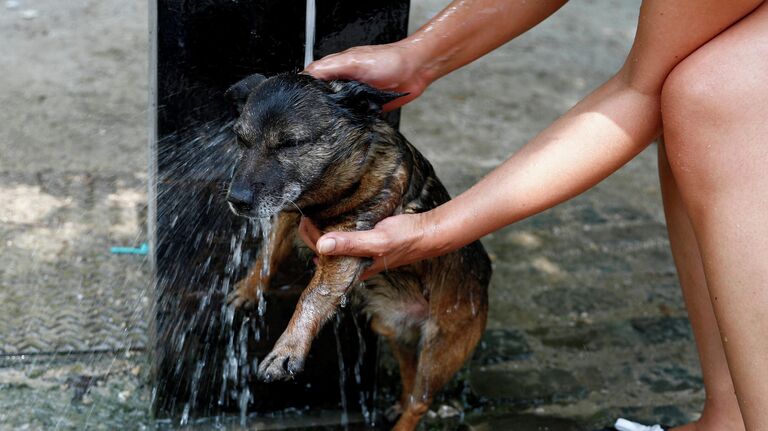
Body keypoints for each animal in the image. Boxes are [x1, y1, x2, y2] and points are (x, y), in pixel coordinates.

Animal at [225, 72, 488, 430]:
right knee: (409, 377)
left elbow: (312, 295)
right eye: (241, 139)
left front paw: (287, 349)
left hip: (441, 350)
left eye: (291, 144)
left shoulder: (348, 242)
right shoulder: (289, 213)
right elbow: (268, 253)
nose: (236, 200)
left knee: (421, 401)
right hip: (393, 332)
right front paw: (249, 289)